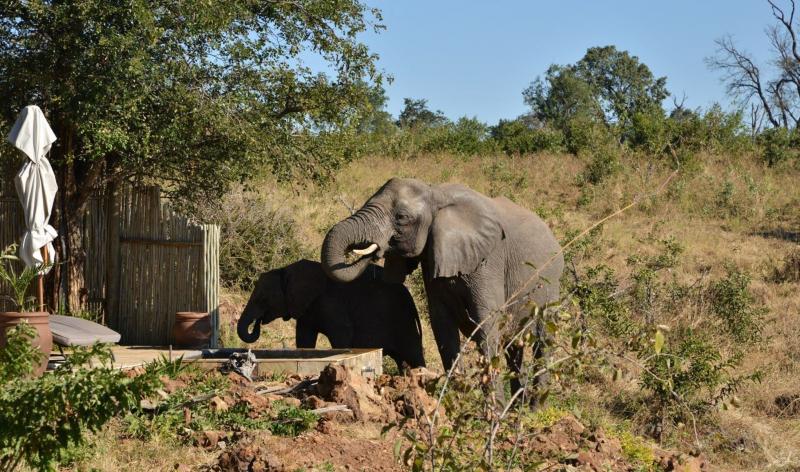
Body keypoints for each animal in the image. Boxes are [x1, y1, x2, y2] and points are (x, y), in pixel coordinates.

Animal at [237, 259, 426, 369]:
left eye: (262, 299)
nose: (257, 323)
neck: (286, 270)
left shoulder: (331, 303)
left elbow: (342, 333)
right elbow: (304, 337)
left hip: (403, 320)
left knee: (413, 355)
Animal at [320, 178, 564, 401]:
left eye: (401, 218)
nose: (373, 250)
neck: (435, 194)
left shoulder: (488, 261)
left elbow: (486, 322)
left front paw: (491, 411)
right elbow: (442, 326)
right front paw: (457, 402)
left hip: (552, 283)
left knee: (542, 341)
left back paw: (533, 408)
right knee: (514, 346)